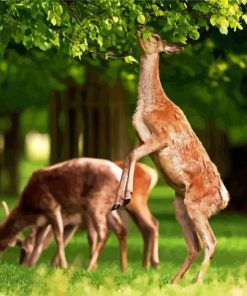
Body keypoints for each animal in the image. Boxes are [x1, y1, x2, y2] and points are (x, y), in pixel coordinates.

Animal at [17, 161, 160, 270]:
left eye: (24, 249)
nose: (23, 265)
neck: (67, 217)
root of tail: (152, 172)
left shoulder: (84, 217)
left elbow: (91, 237)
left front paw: (92, 265)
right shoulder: (73, 223)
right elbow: (65, 239)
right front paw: (54, 264)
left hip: (137, 202)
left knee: (152, 223)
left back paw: (154, 263)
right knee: (144, 228)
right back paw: (144, 265)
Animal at [112, 29, 230, 284]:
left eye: (155, 36)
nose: (138, 27)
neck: (149, 106)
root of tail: (224, 199)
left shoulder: (162, 136)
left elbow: (131, 155)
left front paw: (126, 196)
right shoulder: (141, 139)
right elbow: (128, 156)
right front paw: (119, 200)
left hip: (196, 203)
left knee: (210, 241)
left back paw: (196, 282)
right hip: (180, 204)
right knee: (194, 245)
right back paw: (174, 282)